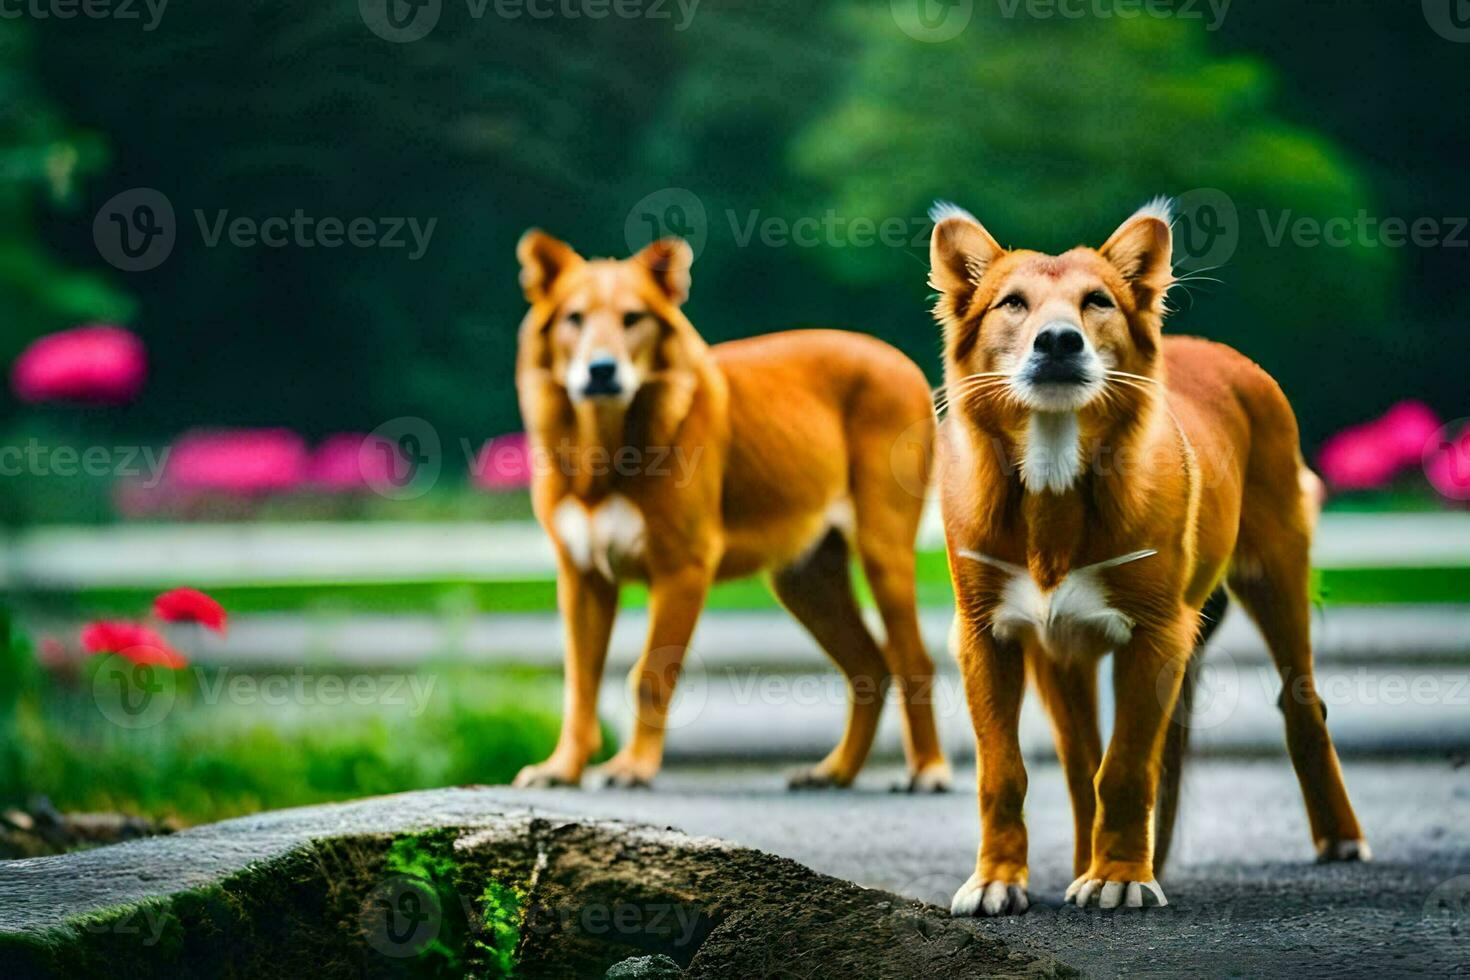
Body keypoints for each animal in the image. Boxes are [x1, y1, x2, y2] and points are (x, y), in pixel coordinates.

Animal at [511, 233, 952, 793]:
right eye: (574, 318)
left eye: (633, 318)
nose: (602, 370)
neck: (604, 448)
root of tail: (898, 359)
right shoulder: (581, 575)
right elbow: (580, 683)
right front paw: (563, 768)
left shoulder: (683, 567)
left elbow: (650, 676)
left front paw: (633, 766)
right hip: (804, 580)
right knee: (870, 667)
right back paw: (835, 771)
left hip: (883, 551)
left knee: (913, 660)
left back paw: (930, 770)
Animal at [929, 201, 1364, 922]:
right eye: (1012, 303)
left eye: (1097, 302)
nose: (1058, 342)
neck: (1055, 471)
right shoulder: (986, 634)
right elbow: (1008, 770)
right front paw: (998, 879)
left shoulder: (1159, 633)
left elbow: (1130, 765)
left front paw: (1120, 877)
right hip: (1060, 653)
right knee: (1083, 761)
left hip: (1276, 572)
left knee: (1302, 703)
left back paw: (1339, 838)